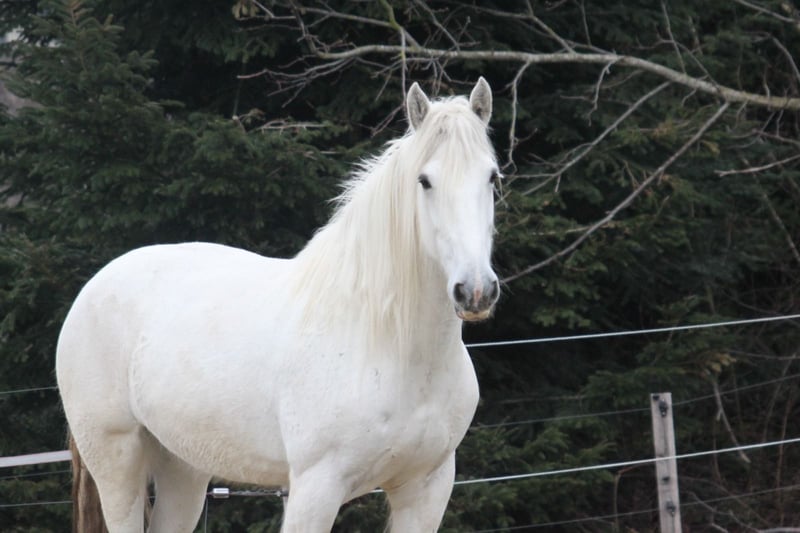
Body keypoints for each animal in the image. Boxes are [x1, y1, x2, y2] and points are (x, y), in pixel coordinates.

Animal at [56, 77, 500, 532]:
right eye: (424, 181)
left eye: (491, 177)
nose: (475, 291)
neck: (389, 342)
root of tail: (94, 286)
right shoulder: (315, 488)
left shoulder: (426, 489)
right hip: (117, 461)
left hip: (183, 467)